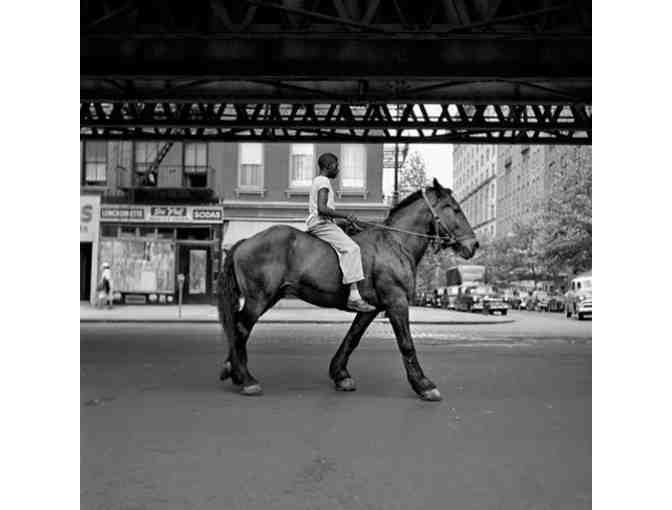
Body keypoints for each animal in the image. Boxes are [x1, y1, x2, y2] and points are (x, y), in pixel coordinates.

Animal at [217, 179, 478, 402]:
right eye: (453, 208)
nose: (473, 245)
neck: (395, 242)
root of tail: (245, 241)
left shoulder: (371, 308)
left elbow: (352, 338)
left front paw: (340, 374)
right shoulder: (396, 302)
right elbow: (406, 343)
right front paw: (424, 385)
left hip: (266, 298)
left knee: (238, 327)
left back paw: (234, 370)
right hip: (258, 299)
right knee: (240, 329)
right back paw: (246, 378)